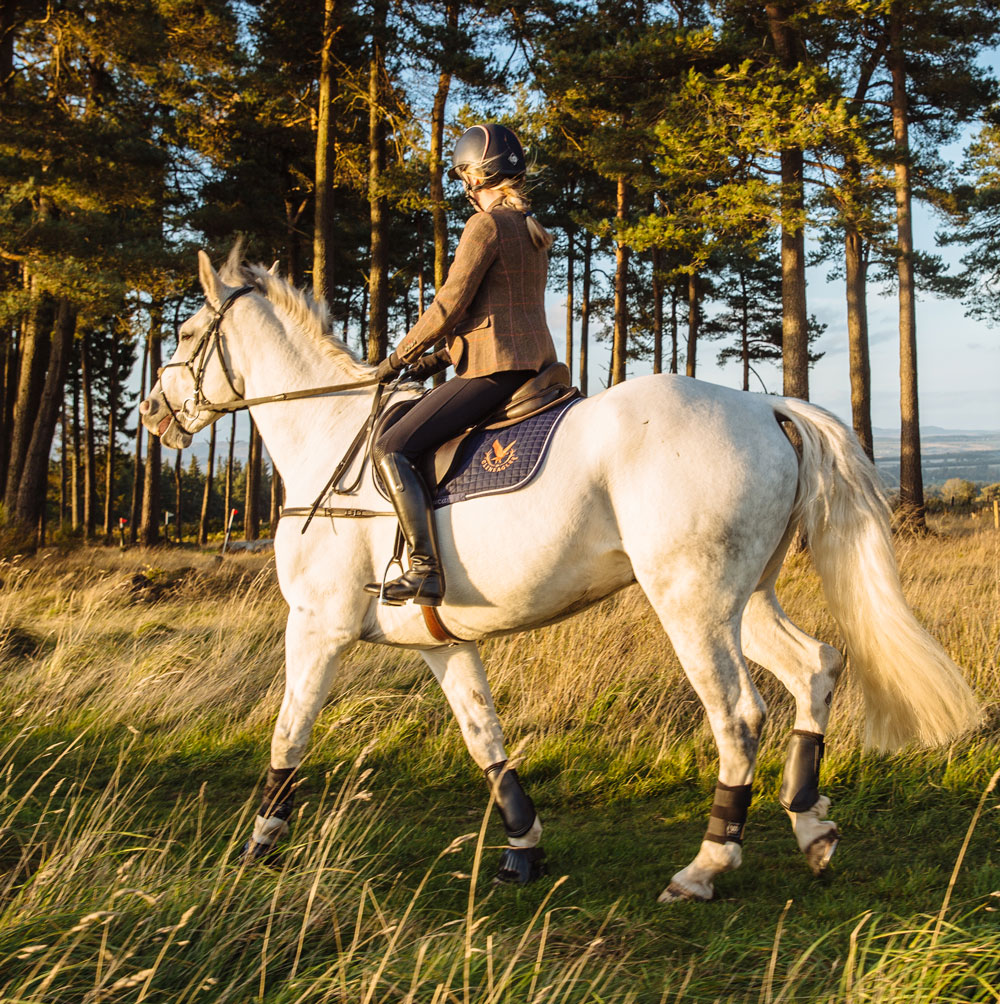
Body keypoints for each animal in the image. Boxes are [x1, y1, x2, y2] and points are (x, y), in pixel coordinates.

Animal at [139, 248, 980, 902]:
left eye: (184, 332)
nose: (149, 413)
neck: (328, 435)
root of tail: (765, 409)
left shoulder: (319, 626)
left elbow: (290, 731)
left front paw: (260, 842)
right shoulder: (442, 642)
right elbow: (485, 737)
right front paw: (524, 848)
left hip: (690, 604)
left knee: (739, 715)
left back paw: (706, 866)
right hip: (742, 601)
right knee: (816, 667)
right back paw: (812, 825)